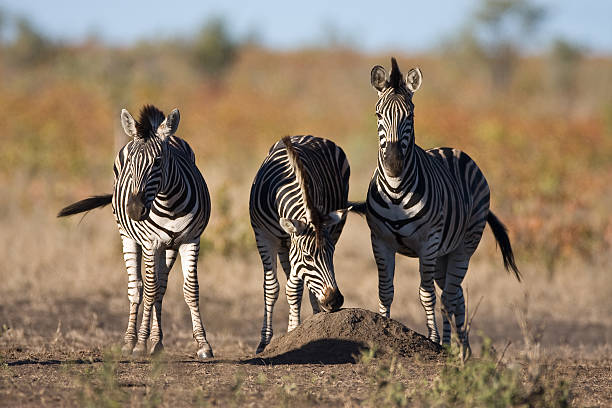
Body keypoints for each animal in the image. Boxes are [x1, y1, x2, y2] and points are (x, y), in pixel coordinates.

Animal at [57, 106, 214, 360]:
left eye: (158, 161)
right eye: (131, 161)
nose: (134, 210)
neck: (169, 202)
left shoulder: (191, 240)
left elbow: (190, 290)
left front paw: (202, 344)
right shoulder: (151, 243)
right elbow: (148, 290)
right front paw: (140, 343)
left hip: (168, 247)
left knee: (161, 286)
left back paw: (157, 342)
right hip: (128, 238)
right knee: (136, 287)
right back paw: (130, 341)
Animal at [249, 135, 352, 352]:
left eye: (332, 254)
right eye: (308, 257)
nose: (335, 301)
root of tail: (313, 136)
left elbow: (294, 289)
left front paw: (294, 332)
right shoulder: (263, 236)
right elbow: (272, 288)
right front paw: (264, 343)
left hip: (335, 228)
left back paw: (315, 316)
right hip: (284, 245)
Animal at [354, 58, 520, 354]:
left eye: (410, 117)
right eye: (378, 115)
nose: (393, 164)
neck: (395, 192)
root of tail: (455, 150)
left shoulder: (428, 243)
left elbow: (426, 294)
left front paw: (431, 339)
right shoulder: (380, 240)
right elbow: (385, 289)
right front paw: (382, 328)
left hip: (463, 246)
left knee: (449, 296)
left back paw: (452, 347)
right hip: (445, 253)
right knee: (456, 295)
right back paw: (460, 349)